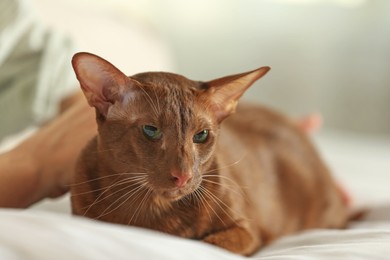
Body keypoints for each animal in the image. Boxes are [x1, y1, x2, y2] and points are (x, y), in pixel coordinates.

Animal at [69, 51, 348, 255]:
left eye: (201, 135)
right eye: (151, 130)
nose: (182, 176)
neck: (153, 213)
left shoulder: (247, 232)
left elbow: (206, 245)